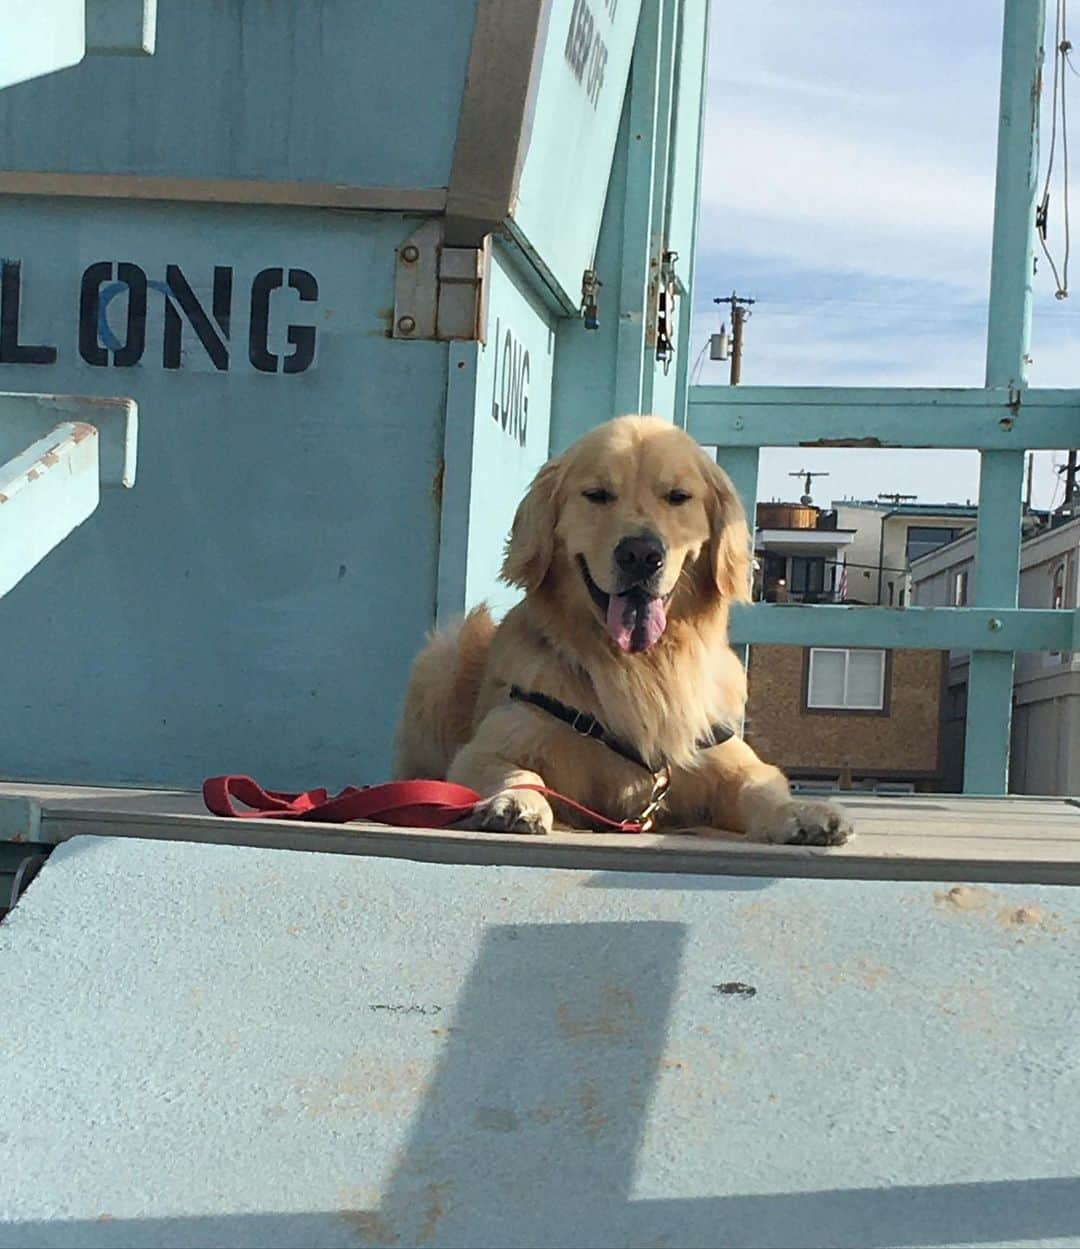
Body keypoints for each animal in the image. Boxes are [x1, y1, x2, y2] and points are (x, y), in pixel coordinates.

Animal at [392, 414, 849, 844]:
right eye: (597, 495)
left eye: (678, 497)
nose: (641, 554)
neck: (638, 666)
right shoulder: (486, 748)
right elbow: (519, 772)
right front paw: (516, 802)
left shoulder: (724, 757)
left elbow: (762, 786)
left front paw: (803, 812)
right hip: (443, 657)